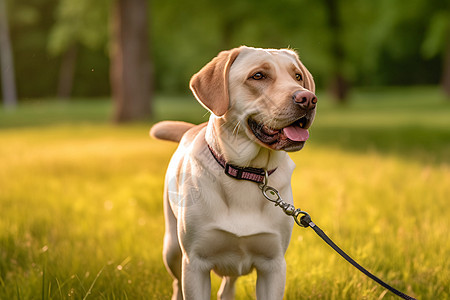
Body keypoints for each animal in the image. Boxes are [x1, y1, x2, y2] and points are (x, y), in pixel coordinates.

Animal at [150, 45, 316, 298]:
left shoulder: (274, 265)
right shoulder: (195, 263)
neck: (247, 171)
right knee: (176, 282)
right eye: (258, 76)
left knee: (227, 287)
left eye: (297, 76)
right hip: (172, 250)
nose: (308, 99)